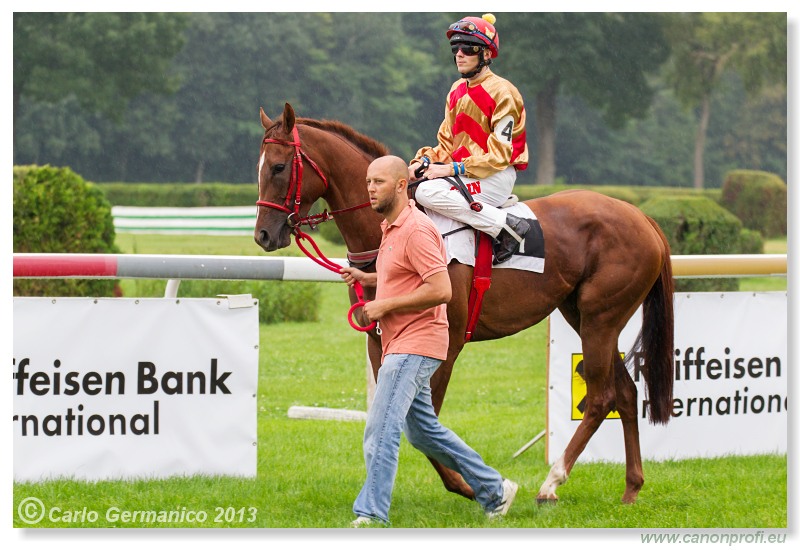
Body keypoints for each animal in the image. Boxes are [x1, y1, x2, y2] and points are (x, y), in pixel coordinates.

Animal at [256, 103, 676, 508]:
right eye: (258, 167)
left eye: (278, 167)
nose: (262, 234)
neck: (390, 232)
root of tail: (643, 217)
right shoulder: (380, 340)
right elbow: (388, 415)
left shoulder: (445, 343)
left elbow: (423, 422)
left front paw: (469, 485)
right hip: (583, 315)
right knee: (626, 392)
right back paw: (631, 487)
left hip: (600, 318)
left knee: (602, 397)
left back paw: (551, 483)